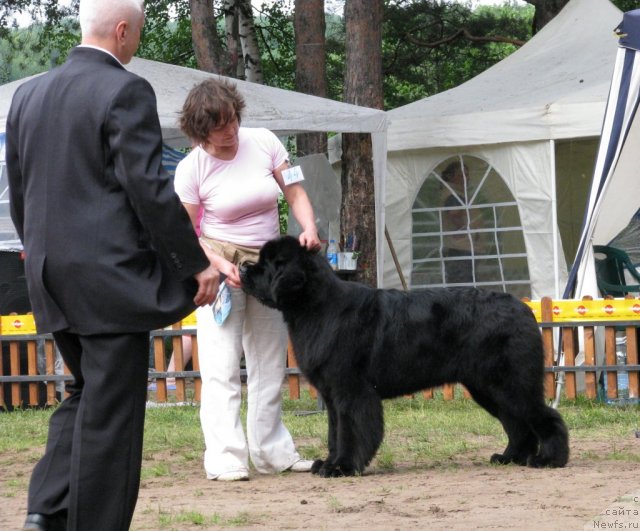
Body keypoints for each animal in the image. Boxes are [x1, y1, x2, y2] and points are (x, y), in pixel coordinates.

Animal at [241, 237, 568, 478]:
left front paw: (342, 466)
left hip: (509, 382)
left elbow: (350, 431)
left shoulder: (350, 390)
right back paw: (510, 457)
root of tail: (524, 309)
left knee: (544, 417)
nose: (243, 268)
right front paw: (328, 463)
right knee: (517, 423)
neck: (317, 306)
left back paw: (550, 459)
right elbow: (334, 432)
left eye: (267, 264)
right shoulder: (332, 395)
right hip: (487, 387)